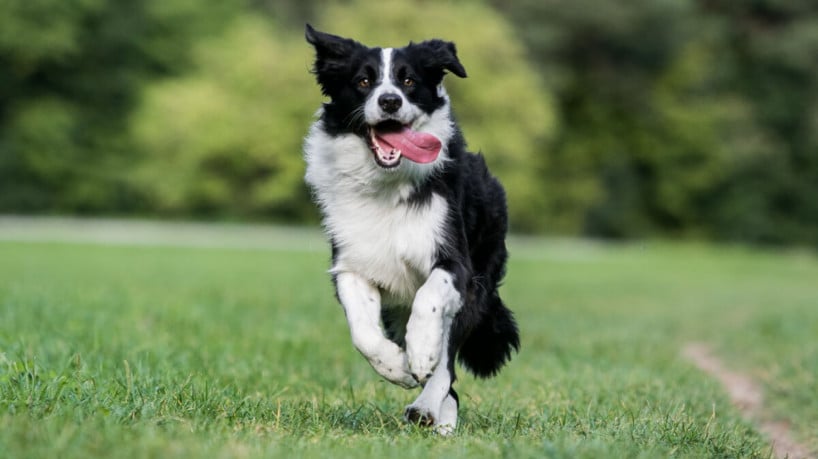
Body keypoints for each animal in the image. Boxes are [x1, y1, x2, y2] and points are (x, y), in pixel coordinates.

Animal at [302, 25, 520, 434]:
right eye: (363, 81)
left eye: (408, 81)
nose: (389, 101)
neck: (387, 185)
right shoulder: (352, 264)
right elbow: (362, 331)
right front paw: (396, 367)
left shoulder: (455, 263)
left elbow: (429, 300)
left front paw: (419, 353)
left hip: (478, 286)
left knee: (447, 364)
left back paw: (429, 408)